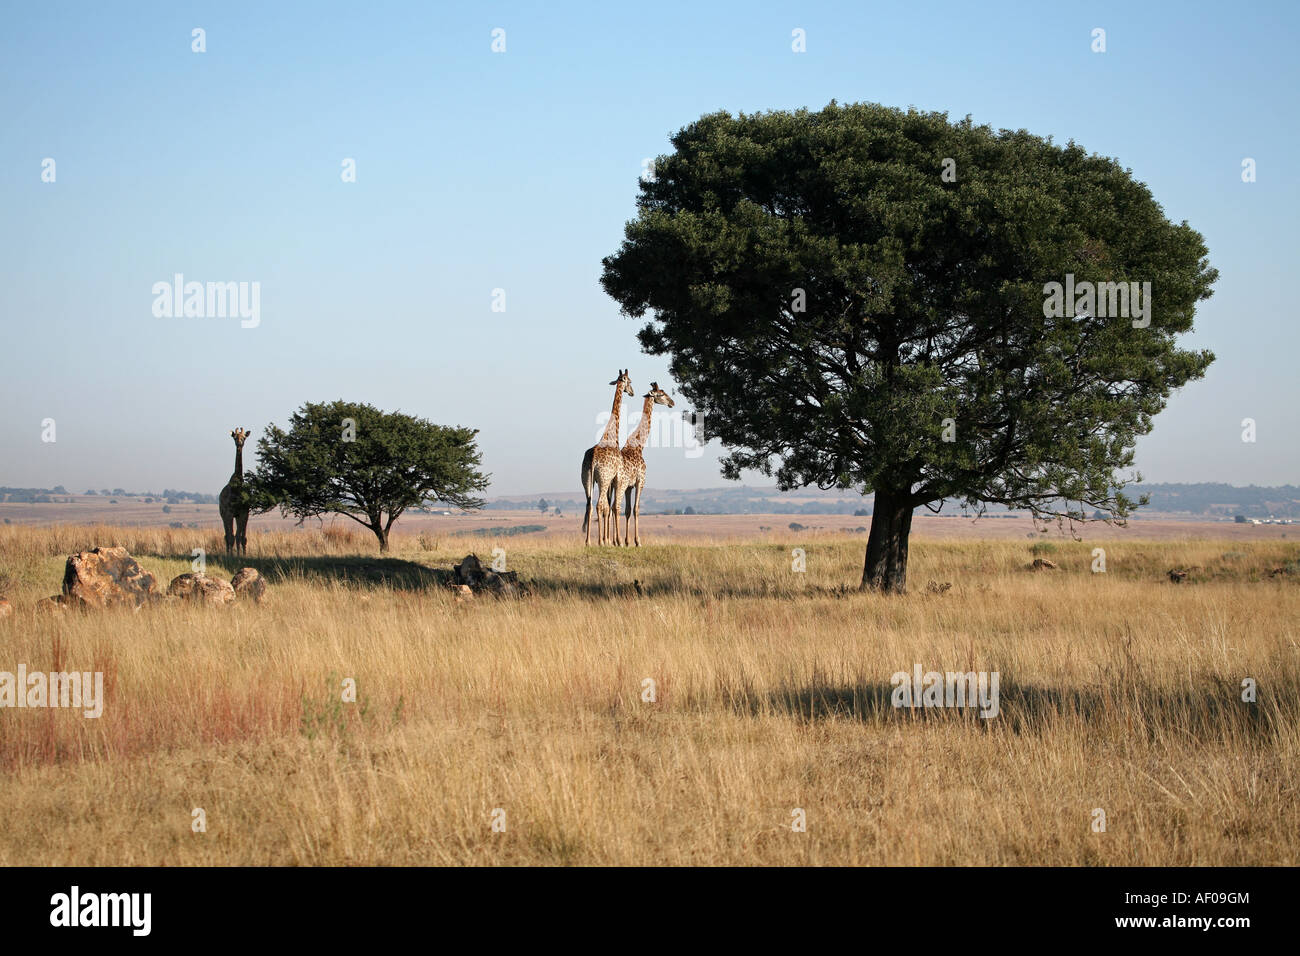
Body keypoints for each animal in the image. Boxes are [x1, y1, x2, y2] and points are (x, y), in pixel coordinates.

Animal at [585, 369, 634, 546]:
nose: (632, 392)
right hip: (603, 479)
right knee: (600, 505)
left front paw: (608, 539)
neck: (611, 435)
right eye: (629, 381)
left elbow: (608, 507)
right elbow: (611, 507)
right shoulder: (615, 478)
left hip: (588, 479)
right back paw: (600, 542)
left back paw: (588, 542)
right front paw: (611, 540)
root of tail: (593, 458)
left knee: (590, 505)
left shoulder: (609, 480)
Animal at [613, 382, 676, 546]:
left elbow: (628, 510)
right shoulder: (640, 481)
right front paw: (637, 541)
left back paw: (614, 541)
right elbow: (636, 509)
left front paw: (628, 541)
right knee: (615, 507)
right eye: (661, 394)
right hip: (620, 484)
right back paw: (617, 541)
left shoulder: (629, 486)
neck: (639, 445)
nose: (672, 402)